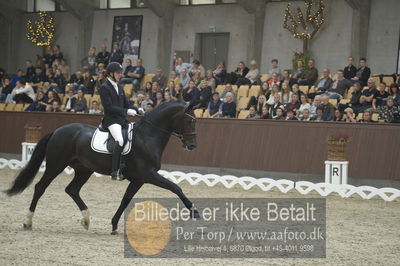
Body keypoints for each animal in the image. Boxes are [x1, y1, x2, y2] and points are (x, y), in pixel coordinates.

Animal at [5, 101, 199, 234]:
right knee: (40, 187)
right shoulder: (148, 175)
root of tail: (58, 130)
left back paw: (86, 220)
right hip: (56, 165)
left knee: (72, 189)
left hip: (84, 169)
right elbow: (176, 187)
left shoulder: (139, 179)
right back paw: (28, 222)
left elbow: (125, 199)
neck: (147, 137)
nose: (192, 146)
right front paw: (194, 211)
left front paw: (114, 225)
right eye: (189, 121)